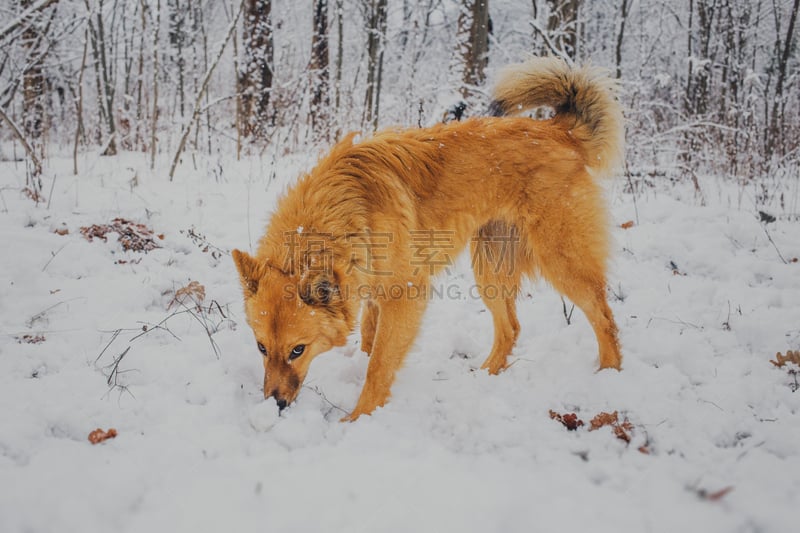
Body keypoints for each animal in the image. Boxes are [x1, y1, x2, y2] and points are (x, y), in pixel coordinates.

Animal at [231, 55, 624, 420]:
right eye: (261, 348)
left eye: (297, 350)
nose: (275, 405)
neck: (341, 212)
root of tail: (559, 131)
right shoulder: (370, 291)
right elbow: (369, 340)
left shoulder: (405, 296)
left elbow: (379, 365)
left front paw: (358, 418)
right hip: (490, 268)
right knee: (511, 328)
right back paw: (484, 376)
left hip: (562, 261)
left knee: (604, 318)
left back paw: (609, 374)